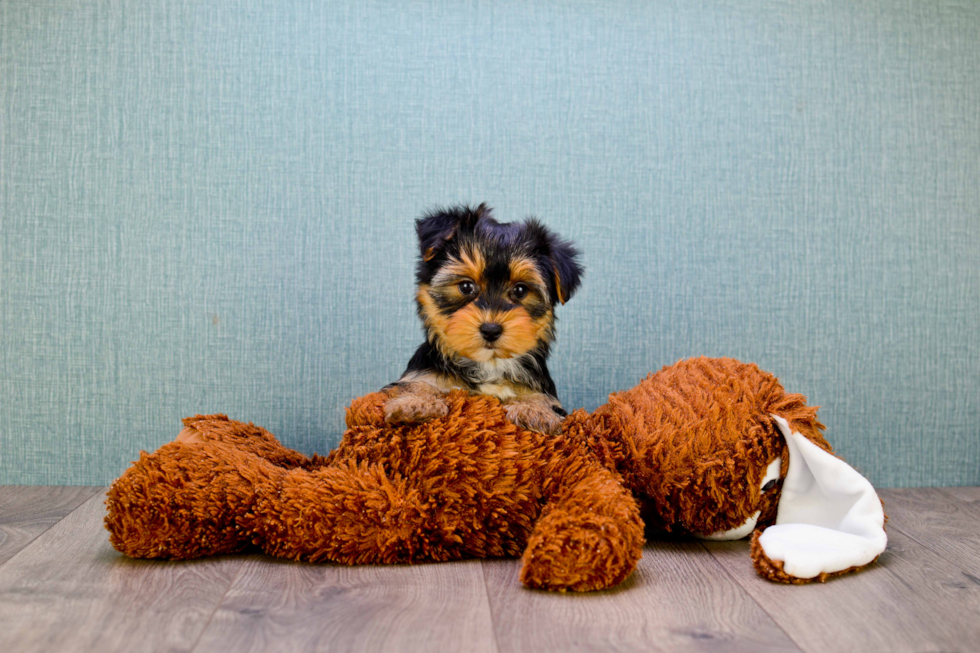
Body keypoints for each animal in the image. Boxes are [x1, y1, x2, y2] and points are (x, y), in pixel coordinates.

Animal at [382, 204, 580, 436]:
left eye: (520, 290)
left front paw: (535, 410)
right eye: (466, 286)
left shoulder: (539, 389)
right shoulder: (423, 373)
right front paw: (414, 403)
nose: (491, 329)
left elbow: (541, 398)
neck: (489, 365)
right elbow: (417, 384)